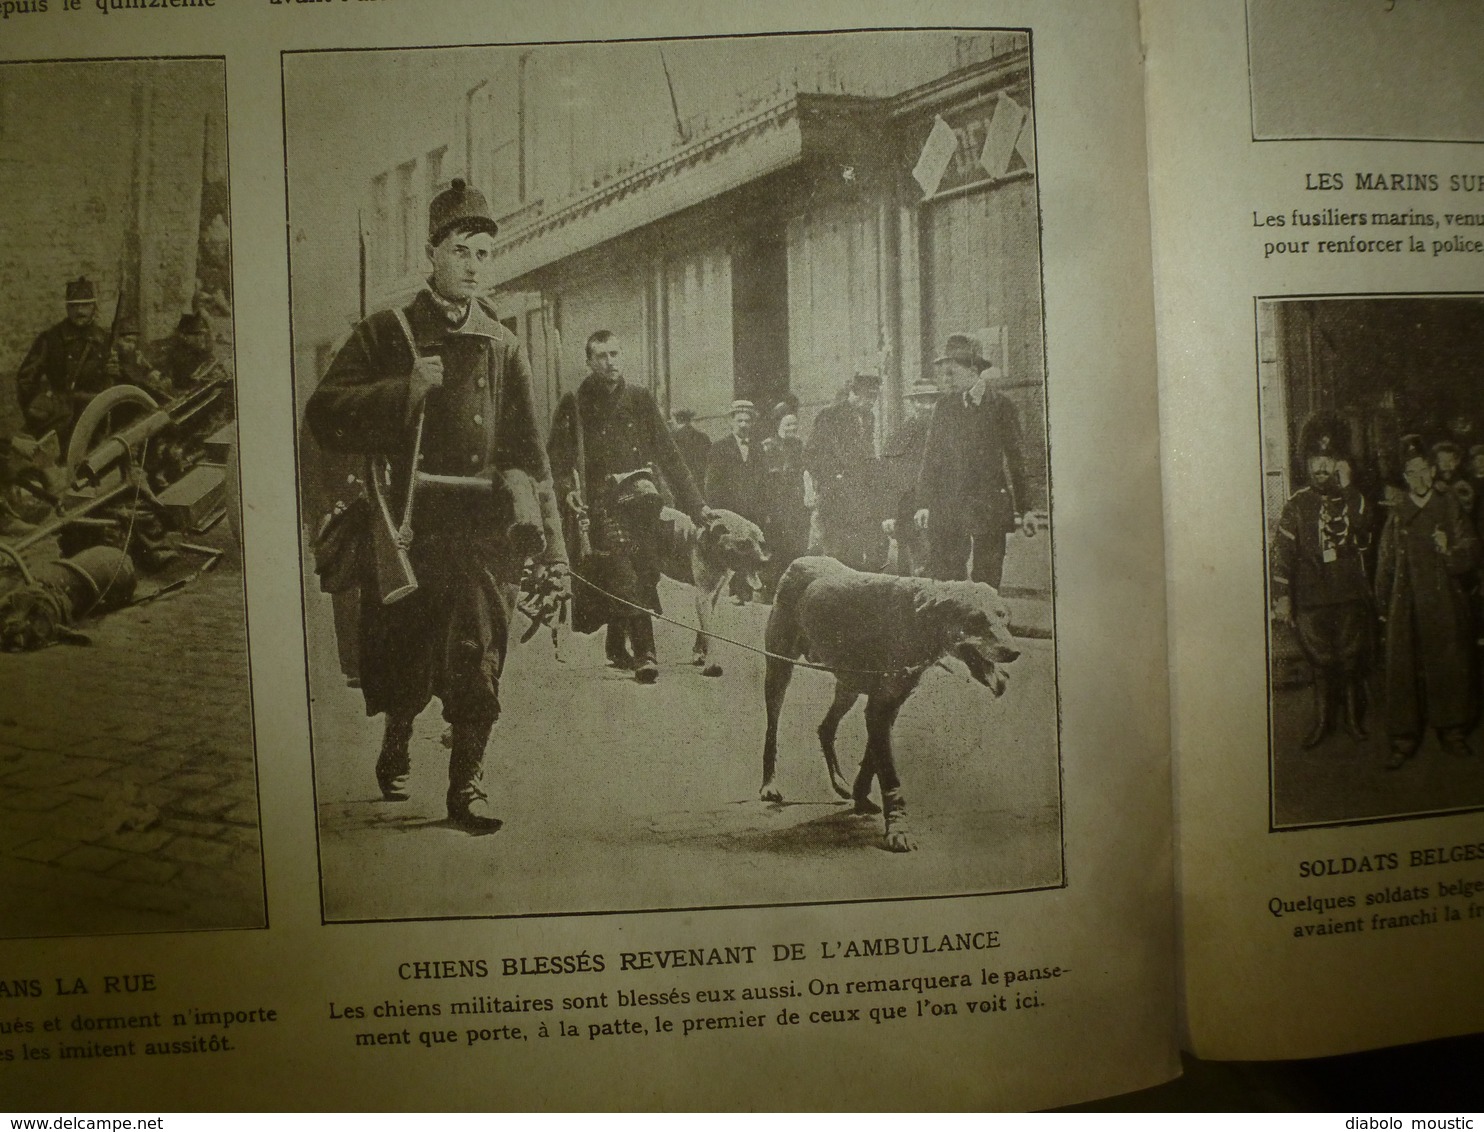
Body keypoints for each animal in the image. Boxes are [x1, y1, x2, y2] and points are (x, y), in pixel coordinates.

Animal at [664, 510, 771, 676]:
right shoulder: (703, 596)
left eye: (760, 543)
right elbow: (709, 632)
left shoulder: (713, 595)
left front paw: (699, 654)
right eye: (743, 544)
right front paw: (712, 663)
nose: (764, 562)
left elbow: (703, 628)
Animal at [765, 554, 1020, 854]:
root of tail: (802, 559)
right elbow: (889, 775)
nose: (1014, 652)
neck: (917, 618)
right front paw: (898, 828)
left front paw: (860, 796)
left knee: (825, 728)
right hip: (779, 670)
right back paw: (769, 784)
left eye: (1003, 617)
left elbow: (872, 760)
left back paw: (839, 782)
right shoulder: (881, 708)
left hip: (848, 686)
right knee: (772, 730)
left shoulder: (889, 705)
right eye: (976, 620)